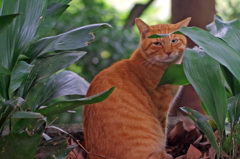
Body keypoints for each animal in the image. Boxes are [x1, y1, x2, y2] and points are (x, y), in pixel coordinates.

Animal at [83, 17, 190, 159]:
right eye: (157, 43)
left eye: (174, 41)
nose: (168, 52)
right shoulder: (161, 110)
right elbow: (163, 132)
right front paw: (165, 153)